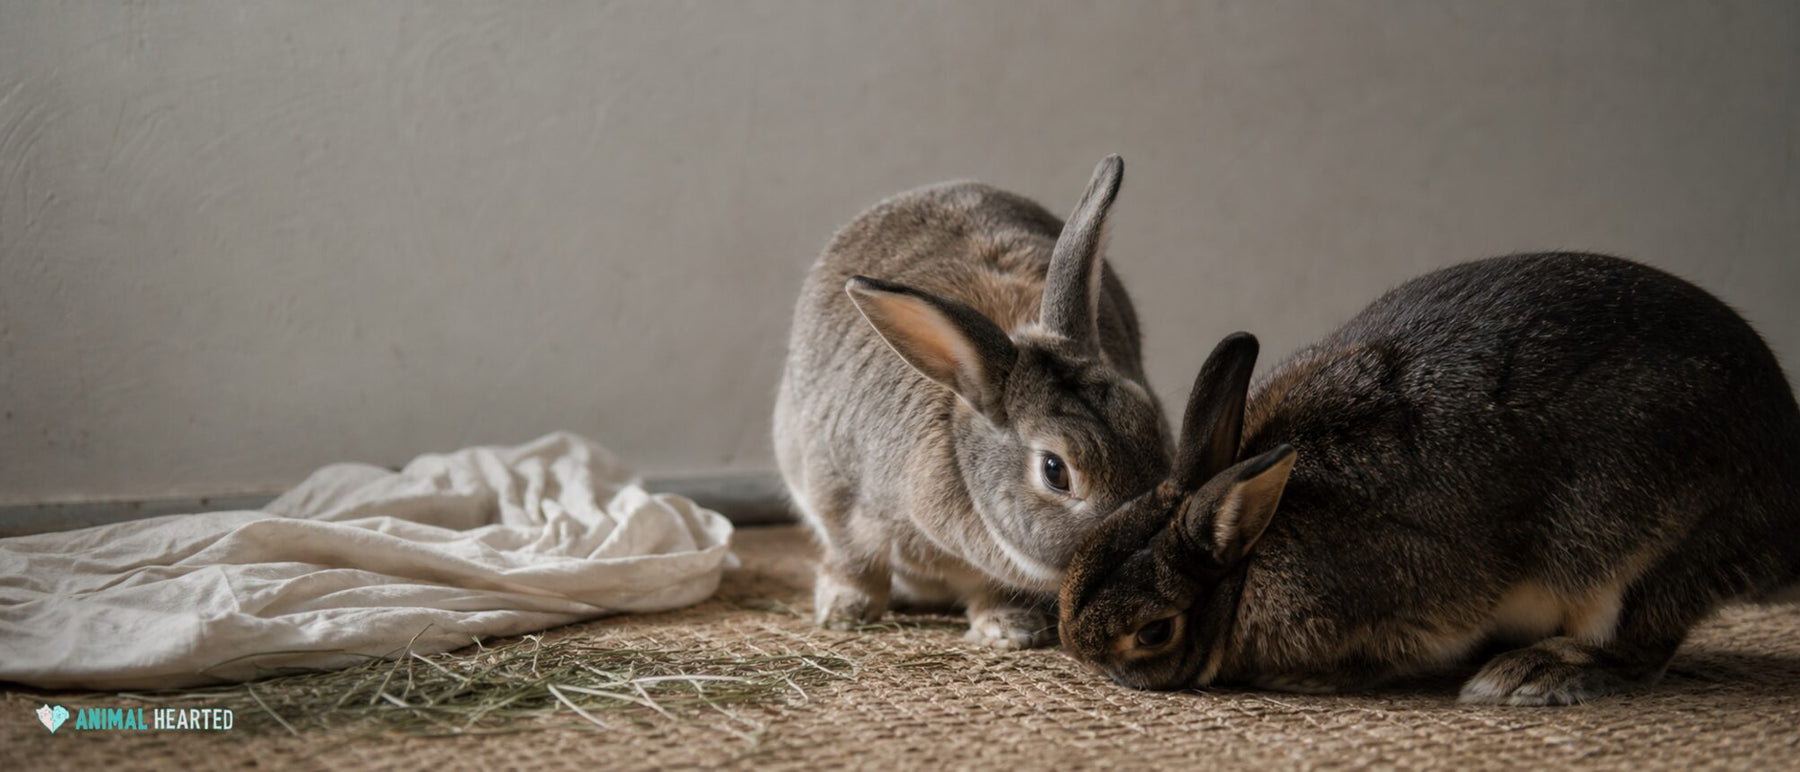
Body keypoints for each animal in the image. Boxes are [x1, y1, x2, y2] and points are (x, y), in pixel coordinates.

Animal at [773, 156, 1173, 648]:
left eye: (1151, 422)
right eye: (1055, 471)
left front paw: (1009, 629)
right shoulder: (839, 495)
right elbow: (854, 558)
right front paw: (844, 611)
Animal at [1059, 252, 1800, 704]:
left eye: (1154, 631)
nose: (1079, 651)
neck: (1245, 558)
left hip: (1635, 554)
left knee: (1641, 643)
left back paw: (1526, 676)